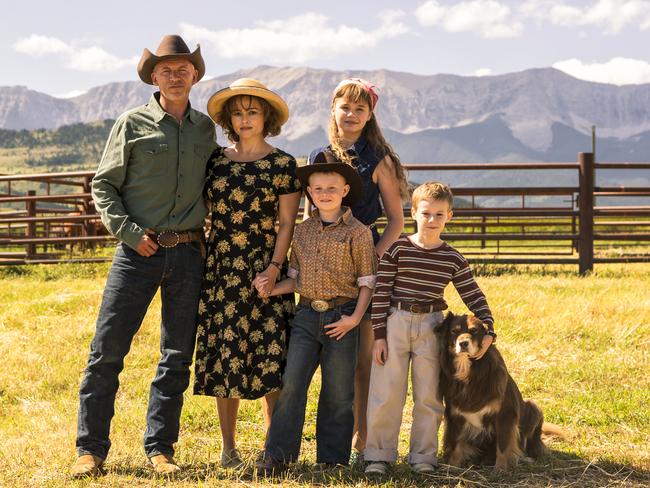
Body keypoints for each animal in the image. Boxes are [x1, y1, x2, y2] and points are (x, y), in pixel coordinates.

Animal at [432, 312, 556, 468]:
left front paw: (501, 469)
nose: (463, 343)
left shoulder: (505, 414)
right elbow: (454, 444)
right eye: (455, 331)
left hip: (533, 408)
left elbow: (503, 445)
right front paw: (452, 467)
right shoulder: (455, 414)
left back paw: (524, 458)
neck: (468, 370)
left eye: (474, 331)